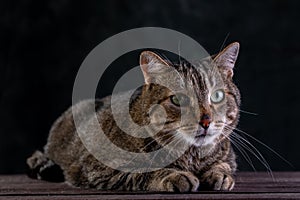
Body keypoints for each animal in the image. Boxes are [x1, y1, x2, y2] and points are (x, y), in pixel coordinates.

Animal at [26, 42, 241, 192]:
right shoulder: (99, 167)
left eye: (217, 95)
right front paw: (174, 176)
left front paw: (220, 175)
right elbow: (142, 172)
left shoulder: (228, 156)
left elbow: (224, 165)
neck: (191, 156)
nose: (206, 121)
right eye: (177, 99)